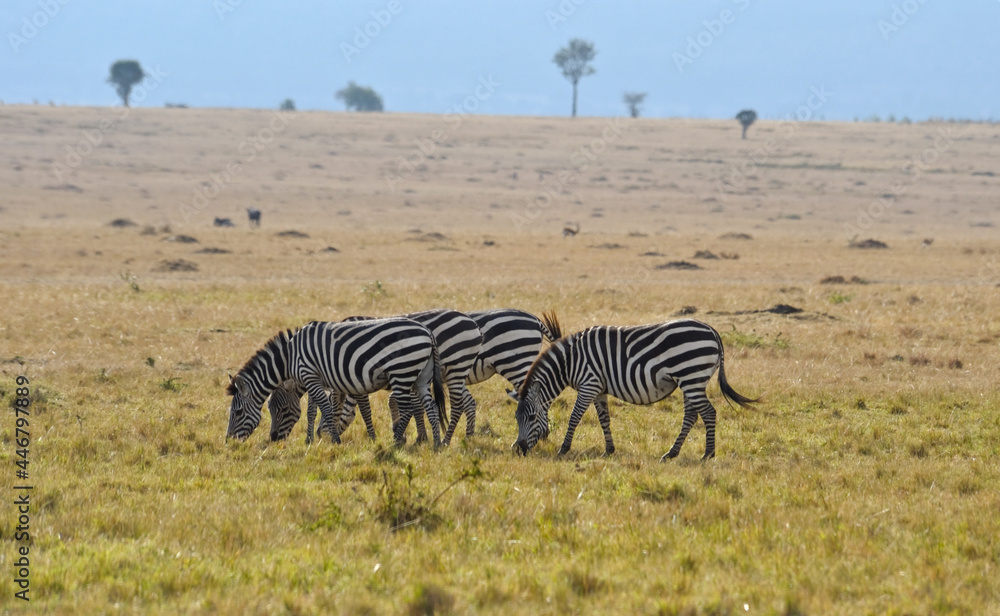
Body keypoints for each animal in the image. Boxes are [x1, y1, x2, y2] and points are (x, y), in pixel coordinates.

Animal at [227, 318, 446, 446]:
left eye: (238, 412)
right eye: (270, 409)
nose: (229, 441)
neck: (290, 356)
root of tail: (427, 332)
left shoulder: (311, 375)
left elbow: (326, 408)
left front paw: (335, 439)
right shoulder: (319, 379)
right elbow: (317, 410)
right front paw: (312, 438)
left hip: (402, 372)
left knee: (408, 407)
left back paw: (397, 441)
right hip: (421, 376)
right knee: (431, 406)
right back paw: (436, 443)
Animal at [268, 310, 482, 446]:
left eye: (283, 409)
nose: (273, 438)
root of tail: (471, 322)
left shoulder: (350, 377)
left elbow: (356, 408)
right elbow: (316, 408)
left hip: (452, 368)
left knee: (455, 404)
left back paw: (444, 440)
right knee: (461, 403)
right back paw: (460, 438)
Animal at [509, 319, 755, 460]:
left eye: (532, 417)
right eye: (516, 418)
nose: (519, 449)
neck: (569, 362)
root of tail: (711, 330)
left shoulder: (589, 384)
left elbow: (574, 417)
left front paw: (564, 449)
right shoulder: (598, 389)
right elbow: (604, 419)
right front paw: (609, 450)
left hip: (691, 377)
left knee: (708, 413)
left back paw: (708, 454)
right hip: (691, 381)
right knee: (691, 416)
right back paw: (672, 453)